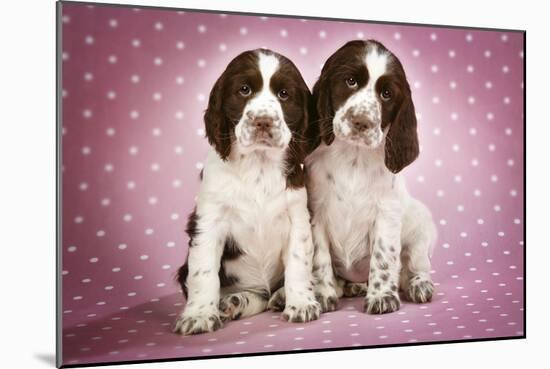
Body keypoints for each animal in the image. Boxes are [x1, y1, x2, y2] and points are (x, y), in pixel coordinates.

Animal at [176, 48, 324, 334]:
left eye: (284, 94)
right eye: (244, 90)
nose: (263, 121)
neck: (258, 163)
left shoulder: (298, 217)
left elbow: (298, 262)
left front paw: (301, 304)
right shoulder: (208, 221)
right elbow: (203, 271)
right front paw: (199, 315)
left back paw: (278, 297)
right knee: (256, 296)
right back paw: (232, 302)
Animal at [306, 40, 440, 314]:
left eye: (386, 94)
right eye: (350, 81)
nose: (361, 122)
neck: (353, 156)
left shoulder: (386, 213)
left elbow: (383, 256)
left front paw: (382, 296)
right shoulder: (316, 212)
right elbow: (319, 256)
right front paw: (323, 294)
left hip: (421, 227)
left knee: (416, 266)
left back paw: (419, 285)